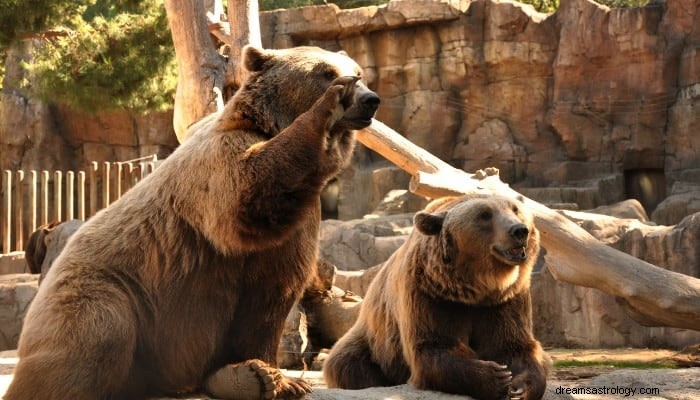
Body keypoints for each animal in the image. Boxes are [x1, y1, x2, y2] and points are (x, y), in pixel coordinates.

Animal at [4, 45, 378, 400]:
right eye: (326, 72)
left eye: (359, 71)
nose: (369, 99)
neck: (268, 126)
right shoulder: (221, 164)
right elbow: (245, 191)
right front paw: (328, 109)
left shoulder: (296, 224)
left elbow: (268, 299)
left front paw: (275, 378)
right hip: (110, 290)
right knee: (95, 336)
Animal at [326, 195, 548, 400]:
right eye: (484, 214)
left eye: (515, 209)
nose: (519, 230)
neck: (477, 287)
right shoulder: (431, 294)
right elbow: (434, 347)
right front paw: (495, 377)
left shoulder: (505, 299)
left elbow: (514, 345)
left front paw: (519, 387)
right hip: (373, 343)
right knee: (348, 363)